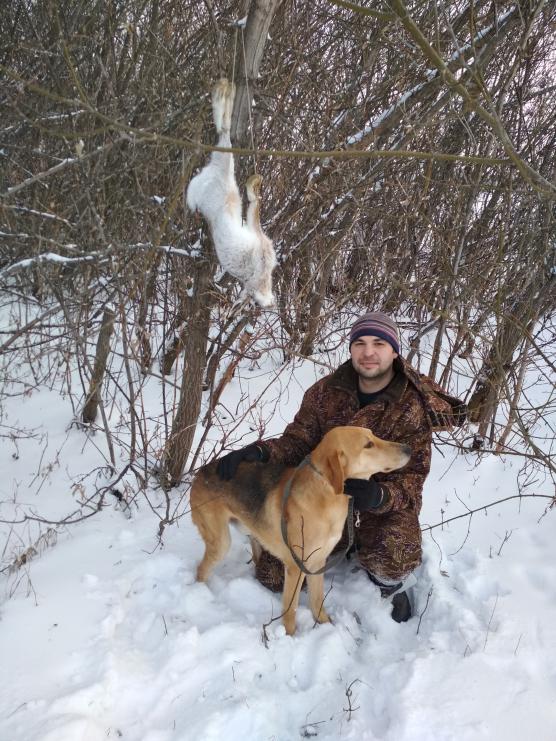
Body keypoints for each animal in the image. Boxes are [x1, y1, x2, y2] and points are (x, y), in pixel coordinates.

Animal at [190, 426, 411, 635]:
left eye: (374, 436)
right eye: (368, 445)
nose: (408, 449)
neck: (327, 494)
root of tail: (201, 470)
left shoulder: (317, 562)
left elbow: (317, 600)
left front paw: (326, 625)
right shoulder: (296, 567)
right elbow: (290, 609)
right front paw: (289, 636)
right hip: (221, 543)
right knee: (201, 570)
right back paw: (202, 593)